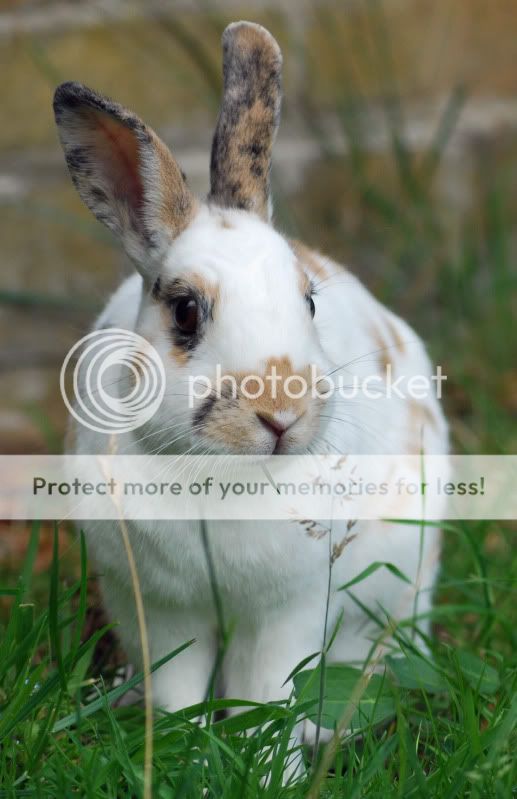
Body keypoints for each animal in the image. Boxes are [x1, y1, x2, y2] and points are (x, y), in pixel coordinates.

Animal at [53, 23, 448, 752]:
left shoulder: (286, 615)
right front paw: (179, 751)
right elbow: (179, 693)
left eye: (309, 302)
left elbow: (264, 696)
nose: (281, 414)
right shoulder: (162, 612)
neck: (219, 477)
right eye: (185, 311)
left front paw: (267, 763)